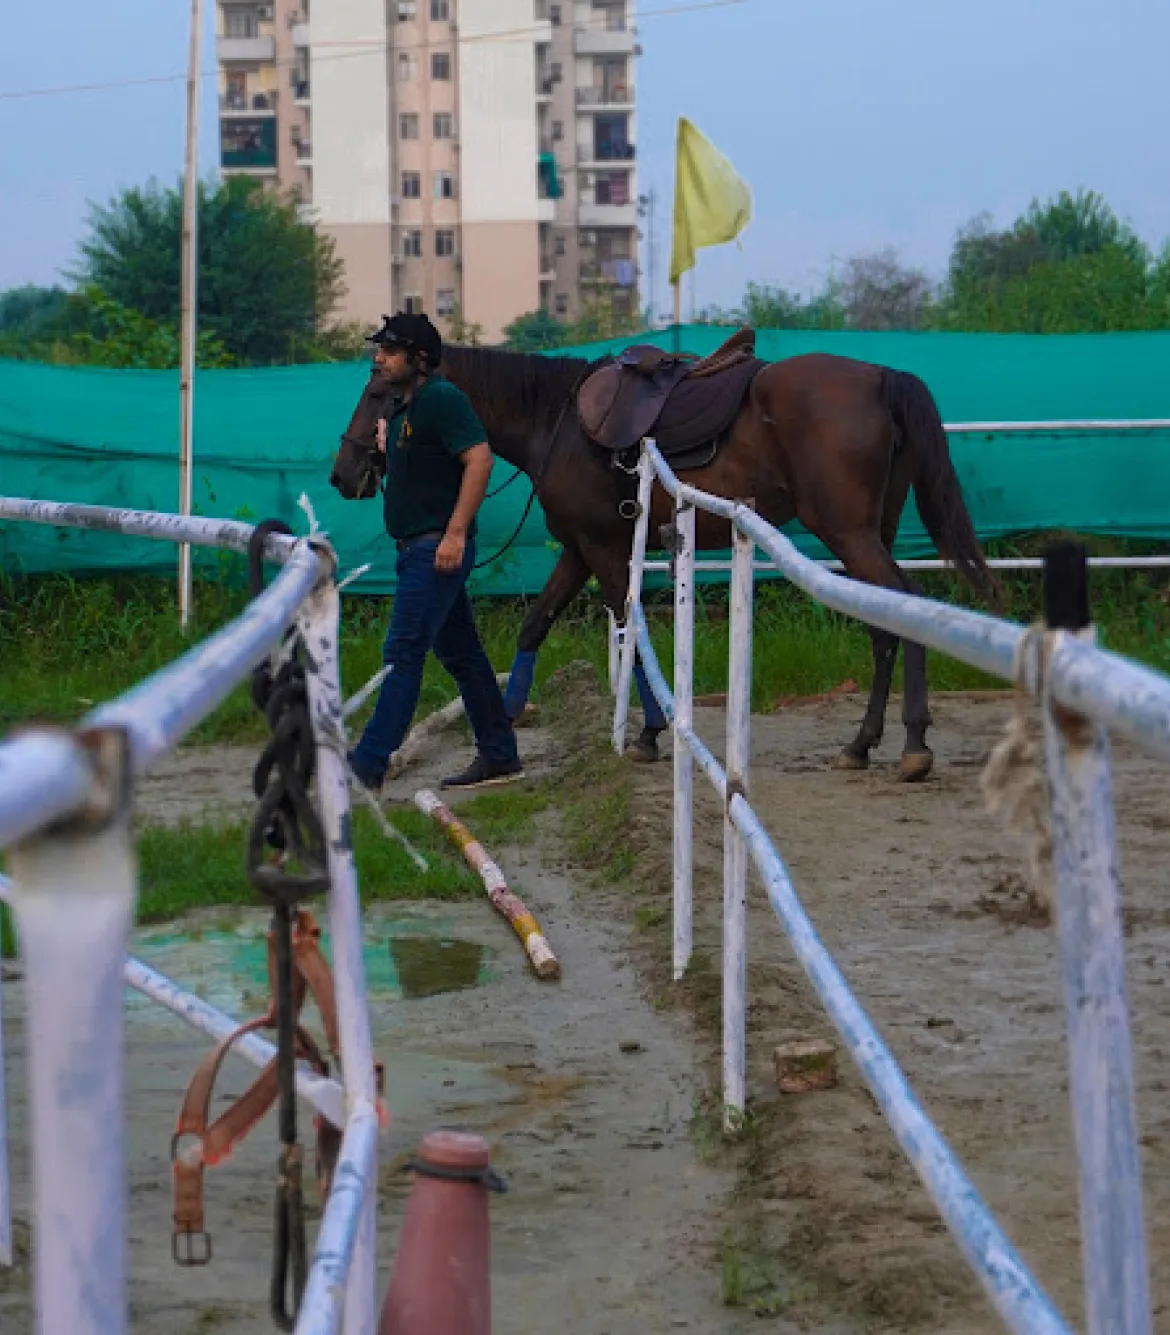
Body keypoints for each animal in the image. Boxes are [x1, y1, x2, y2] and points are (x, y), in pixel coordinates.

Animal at [328, 329, 993, 779]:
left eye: (381, 388)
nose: (343, 473)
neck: (556, 421)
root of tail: (880, 377)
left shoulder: (603, 547)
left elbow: (630, 625)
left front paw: (647, 733)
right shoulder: (579, 549)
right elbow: (536, 622)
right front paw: (509, 717)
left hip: (848, 532)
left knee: (902, 610)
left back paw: (911, 746)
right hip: (868, 534)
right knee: (889, 620)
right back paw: (863, 744)